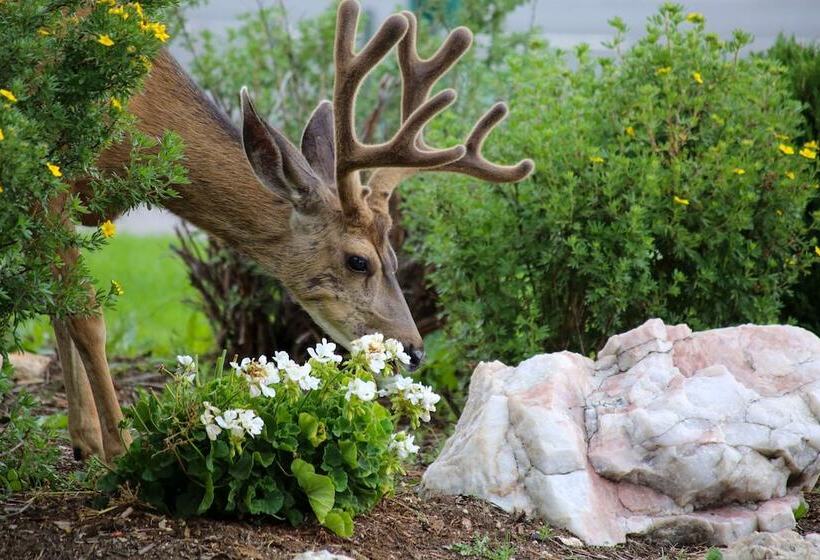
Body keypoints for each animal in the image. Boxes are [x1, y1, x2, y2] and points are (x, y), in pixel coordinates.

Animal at [57, 0, 532, 462]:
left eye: (395, 257)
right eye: (358, 260)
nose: (414, 350)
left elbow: (61, 306)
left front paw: (86, 440)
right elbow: (85, 315)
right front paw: (119, 449)